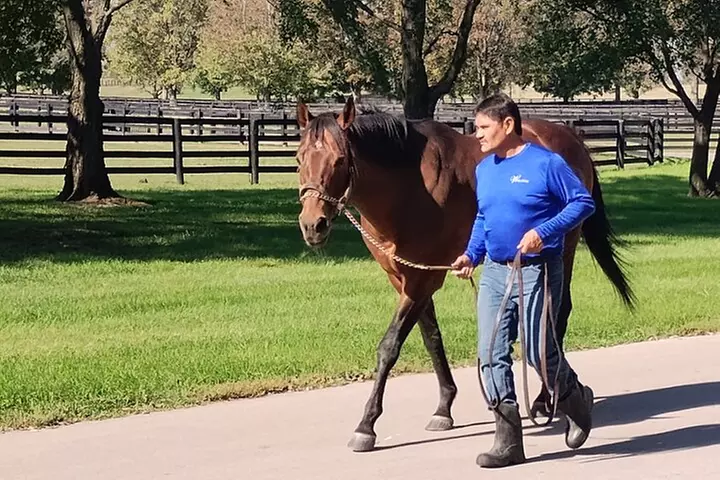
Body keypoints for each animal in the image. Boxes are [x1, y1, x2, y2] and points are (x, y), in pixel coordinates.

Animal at [295, 96, 634, 452]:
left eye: (339, 159)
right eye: (299, 158)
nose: (313, 225)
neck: (409, 187)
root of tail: (572, 139)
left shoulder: (421, 281)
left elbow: (389, 346)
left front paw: (366, 425)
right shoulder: (405, 278)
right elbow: (431, 338)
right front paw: (444, 407)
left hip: (561, 249)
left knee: (554, 316)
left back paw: (544, 399)